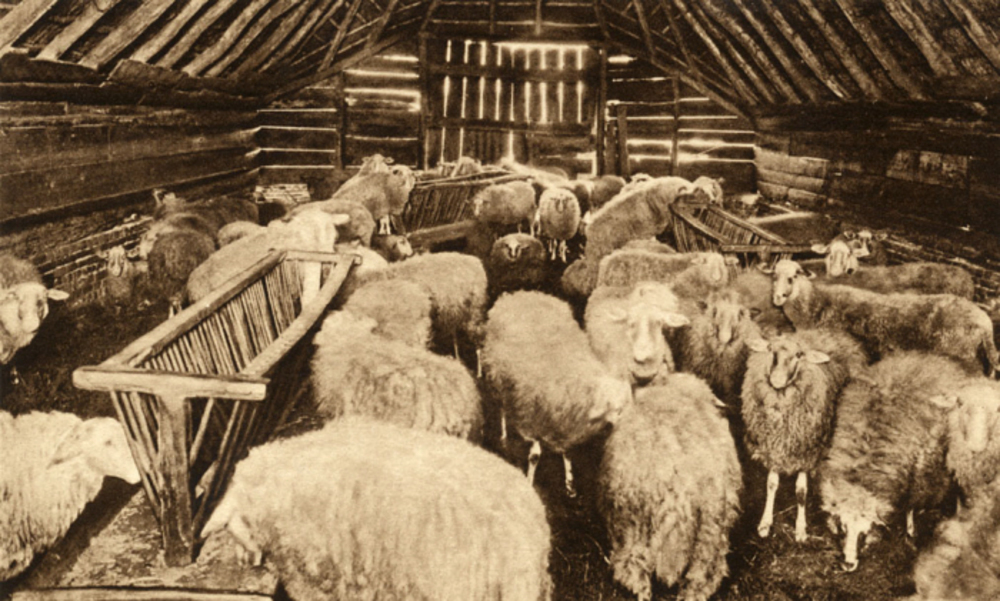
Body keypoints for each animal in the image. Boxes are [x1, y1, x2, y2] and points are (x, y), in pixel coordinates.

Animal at [481, 291, 632, 496]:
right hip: (497, 377)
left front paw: (570, 482)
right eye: (616, 408)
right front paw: (529, 482)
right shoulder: (533, 417)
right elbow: (535, 456)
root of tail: (519, 294)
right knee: (502, 406)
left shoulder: (565, 424)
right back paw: (503, 434)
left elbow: (567, 452)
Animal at [742, 328, 867, 543]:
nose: (777, 379)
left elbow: (801, 492)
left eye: (799, 355)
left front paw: (800, 529)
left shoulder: (807, 451)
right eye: (770, 348)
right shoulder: (773, 447)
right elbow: (771, 484)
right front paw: (765, 523)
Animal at [769, 259, 1000, 377]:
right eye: (774, 275)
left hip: (965, 357)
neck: (814, 303)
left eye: (794, 276)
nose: (777, 297)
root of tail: (985, 323)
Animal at [819, 352, 970, 571]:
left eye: (863, 534)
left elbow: (911, 503)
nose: (848, 564)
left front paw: (910, 530)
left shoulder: (917, 472)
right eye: (842, 528)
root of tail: (937, 359)